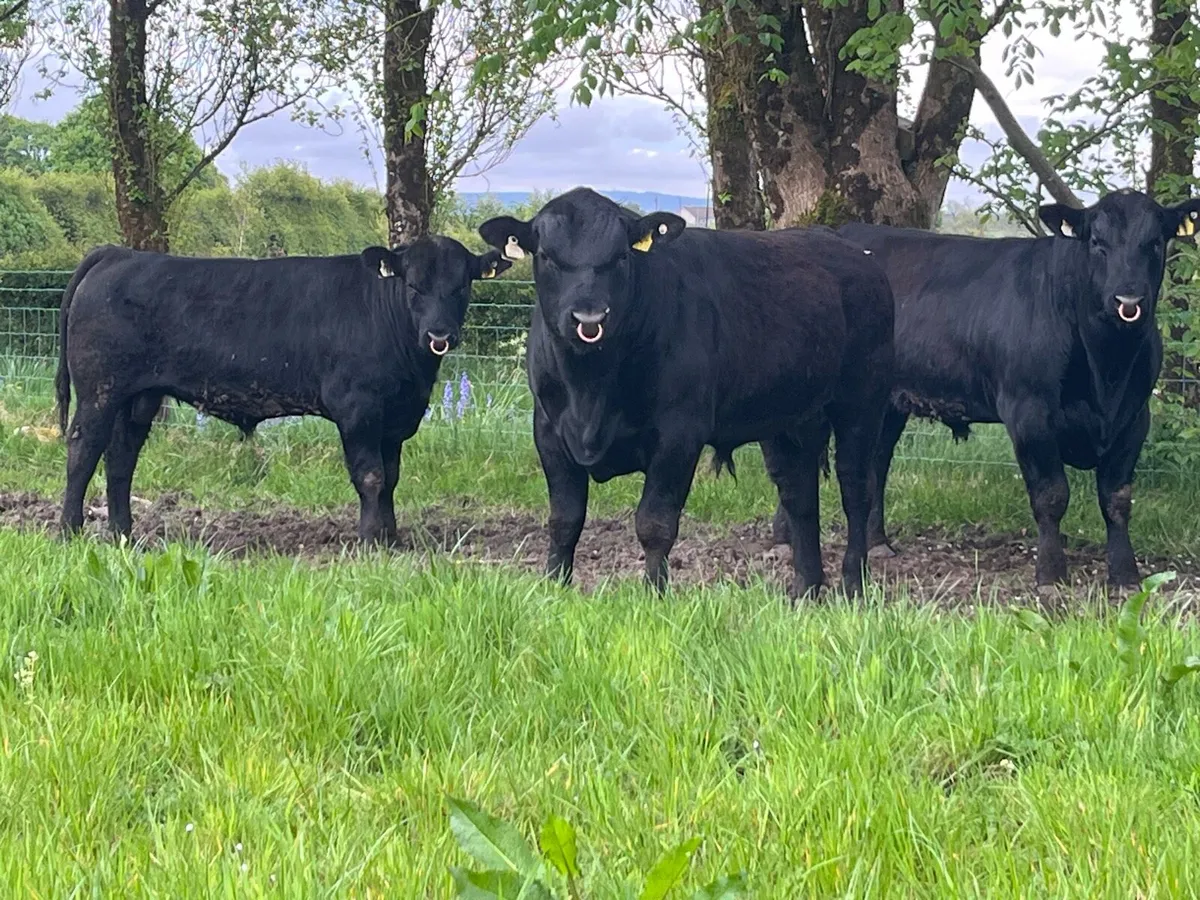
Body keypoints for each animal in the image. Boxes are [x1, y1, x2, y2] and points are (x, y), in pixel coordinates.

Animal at [55, 238, 510, 542]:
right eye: (414, 286)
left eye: (462, 286)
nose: (440, 335)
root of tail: (121, 253)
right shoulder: (358, 409)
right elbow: (371, 477)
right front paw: (369, 541)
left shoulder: (395, 417)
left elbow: (392, 478)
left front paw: (391, 537)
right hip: (99, 390)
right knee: (83, 449)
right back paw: (69, 531)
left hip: (138, 396)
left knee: (120, 457)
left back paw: (122, 534)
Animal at [478, 187, 895, 599]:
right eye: (546, 256)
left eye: (621, 256)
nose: (589, 320)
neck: (590, 390)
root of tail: (850, 250)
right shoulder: (548, 429)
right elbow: (564, 518)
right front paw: (554, 586)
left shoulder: (678, 434)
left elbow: (655, 523)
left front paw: (653, 594)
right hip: (790, 417)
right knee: (799, 494)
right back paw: (805, 589)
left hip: (862, 402)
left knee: (856, 489)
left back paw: (854, 584)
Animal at [771, 190, 1200, 590]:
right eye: (1097, 241)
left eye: (1155, 242)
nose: (1128, 300)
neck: (1106, 371)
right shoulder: (1028, 411)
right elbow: (1051, 496)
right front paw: (1050, 574)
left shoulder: (1134, 417)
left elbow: (1117, 499)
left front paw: (1126, 574)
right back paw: (783, 540)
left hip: (886, 401)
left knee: (876, 461)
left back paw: (878, 544)